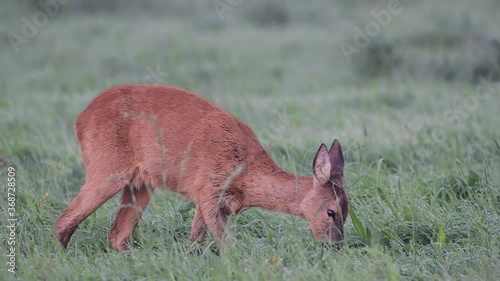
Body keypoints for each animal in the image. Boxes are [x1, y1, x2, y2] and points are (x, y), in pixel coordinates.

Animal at [54, 82, 350, 249]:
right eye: (331, 212)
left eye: (348, 213)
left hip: (141, 184)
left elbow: (195, 241)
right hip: (106, 168)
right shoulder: (208, 189)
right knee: (64, 221)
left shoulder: (208, 201)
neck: (245, 170)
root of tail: (81, 119)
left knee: (117, 234)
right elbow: (227, 244)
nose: (335, 245)